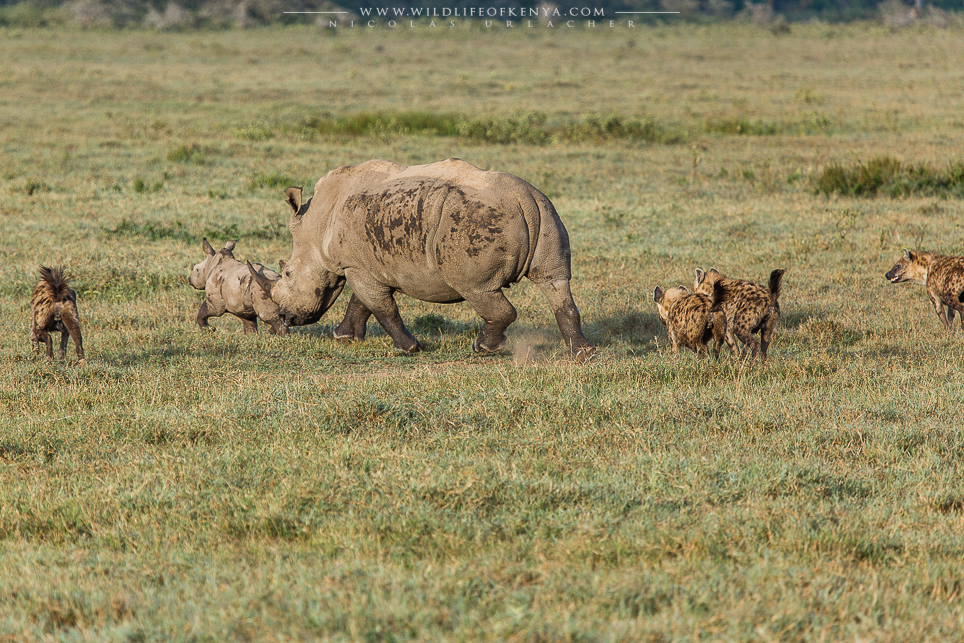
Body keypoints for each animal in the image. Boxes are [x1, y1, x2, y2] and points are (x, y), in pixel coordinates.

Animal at [249, 158, 595, 359]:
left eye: (288, 274)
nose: (285, 319)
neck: (315, 227)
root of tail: (523, 199)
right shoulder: (367, 265)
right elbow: (362, 303)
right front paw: (344, 337)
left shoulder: (356, 265)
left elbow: (381, 306)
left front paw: (409, 348)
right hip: (547, 212)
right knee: (556, 282)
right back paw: (583, 354)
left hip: (471, 224)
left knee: (478, 289)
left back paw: (483, 348)